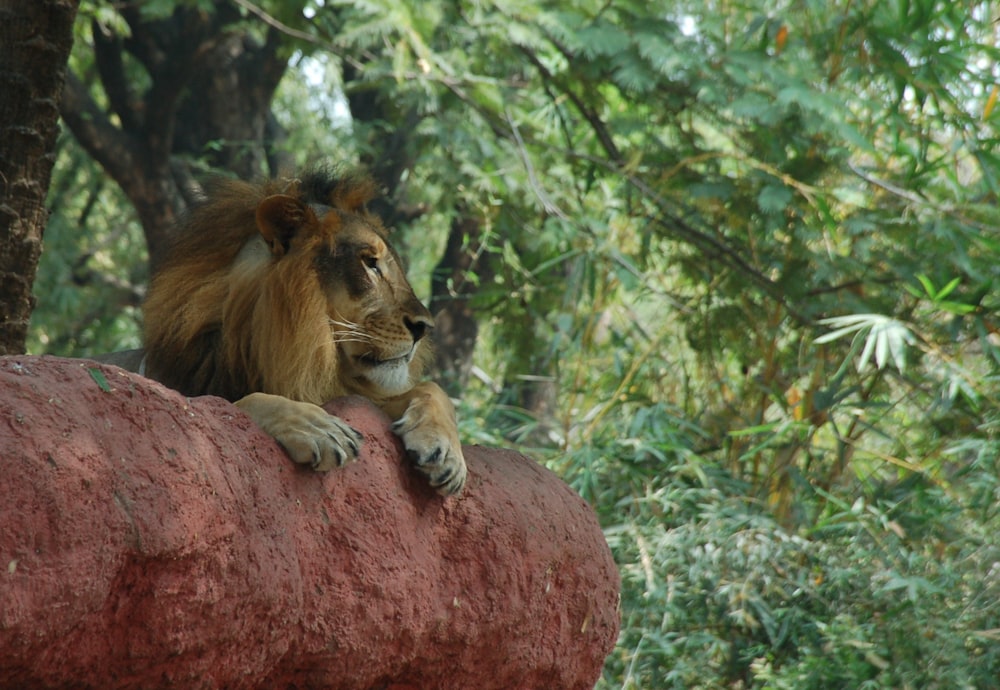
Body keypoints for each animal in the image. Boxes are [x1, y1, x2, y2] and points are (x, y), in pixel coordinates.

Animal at [135, 169, 466, 498]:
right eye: (370, 263)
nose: (425, 327)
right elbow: (243, 401)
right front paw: (317, 428)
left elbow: (432, 388)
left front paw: (446, 453)